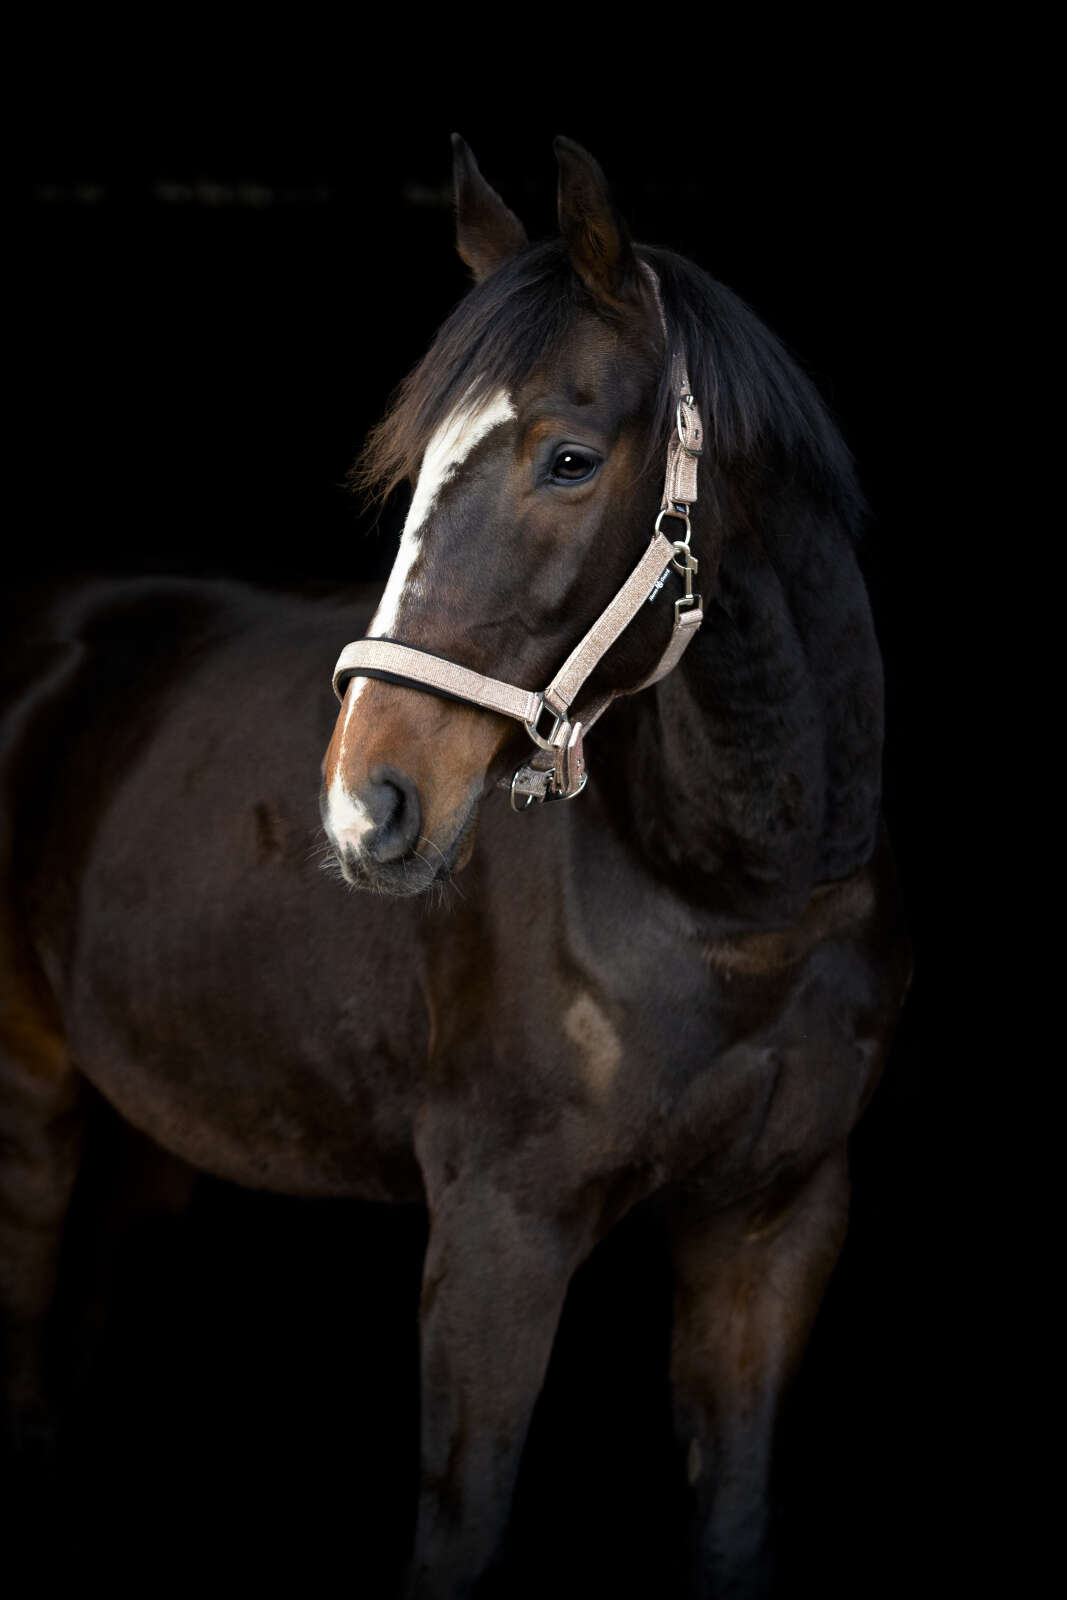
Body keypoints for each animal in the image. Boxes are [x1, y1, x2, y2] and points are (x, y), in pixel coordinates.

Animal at [1, 135, 911, 1597]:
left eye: (567, 458)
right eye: (419, 466)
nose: (363, 806)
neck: (736, 899)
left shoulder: (777, 1225)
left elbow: (730, 1526)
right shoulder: (497, 1233)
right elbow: (458, 1533)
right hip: (30, 1092)